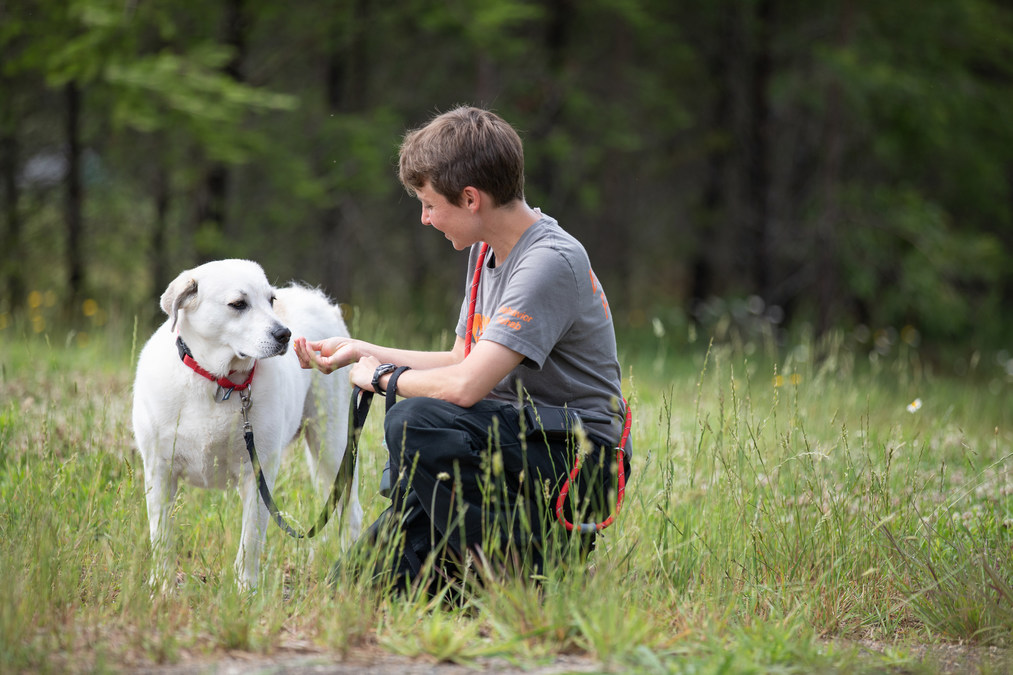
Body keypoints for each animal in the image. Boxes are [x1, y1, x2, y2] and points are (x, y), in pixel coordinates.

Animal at [128, 259, 362, 587]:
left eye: (271, 300)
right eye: (238, 304)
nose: (285, 334)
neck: (217, 382)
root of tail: (316, 298)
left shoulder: (259, 473)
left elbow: (251, 538)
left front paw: (246, 589)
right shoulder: (159, 471)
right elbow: (162, 535)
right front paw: (161, 586)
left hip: (332, 447)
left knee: (350, 511)